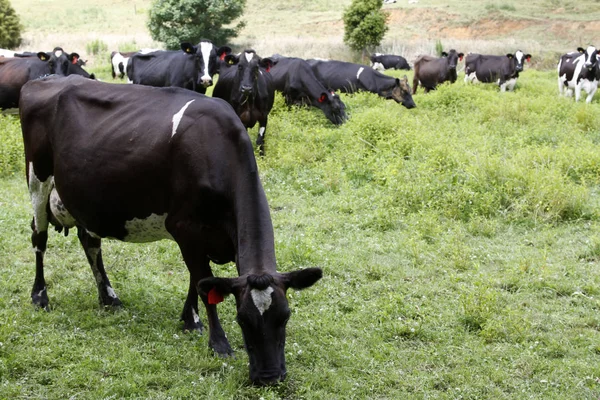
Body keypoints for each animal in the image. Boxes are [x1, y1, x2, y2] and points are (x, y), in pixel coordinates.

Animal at [19, 74, 324, 384]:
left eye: (285, 316)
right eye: (242, 318)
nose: (269, 376)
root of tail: (47, 78)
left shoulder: (205, 237)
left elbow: (198, 280)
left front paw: (189, 320)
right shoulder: (185, 228)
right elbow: (203, 284)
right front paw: (219, 342)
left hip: (85, 198)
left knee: (89, 242)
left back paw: (108, 298)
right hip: (37, 177)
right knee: (39, 236)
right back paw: (40, 296)